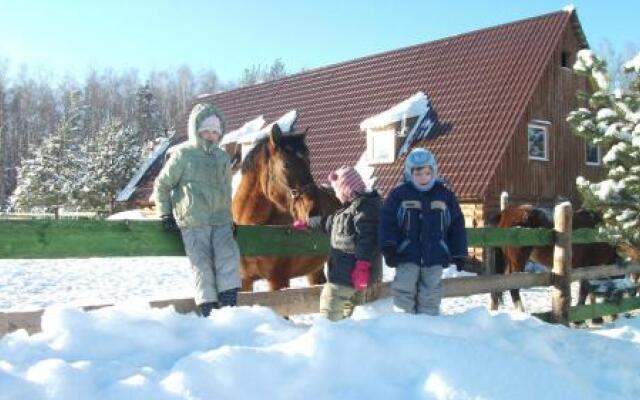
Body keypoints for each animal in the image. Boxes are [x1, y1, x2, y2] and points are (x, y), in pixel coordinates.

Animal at [234, 125, 336, 290]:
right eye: (286, 165)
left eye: (309, 163)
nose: (314, 210)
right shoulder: (244, 281)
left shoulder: (278, 280)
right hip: (315, 270)